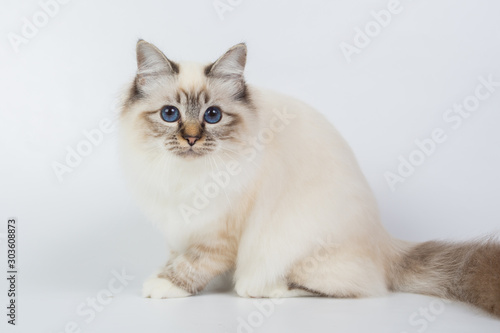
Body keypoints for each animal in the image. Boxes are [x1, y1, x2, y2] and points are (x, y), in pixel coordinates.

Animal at [118, 40, 500, 316]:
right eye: (170, 114)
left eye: (213, 116)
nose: (192, 139)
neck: (186, 174)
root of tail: (385, 243)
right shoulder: (182, 223)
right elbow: (177, 257)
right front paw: (163, 274)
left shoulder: (219, 232)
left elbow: (194, 264)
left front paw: (165, 285)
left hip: (292, 251)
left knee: (343, 287)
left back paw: (261, 289)